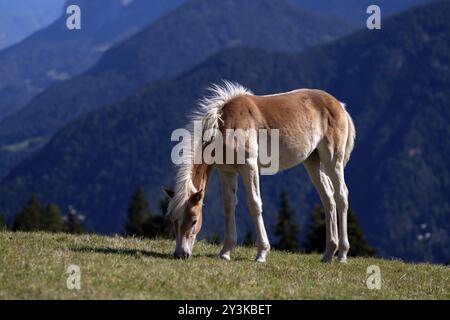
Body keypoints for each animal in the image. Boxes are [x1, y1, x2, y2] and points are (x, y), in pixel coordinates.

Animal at [163, 81, 356, 264]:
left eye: (194, 220)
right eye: (172, 220)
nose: (180, 254)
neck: (225, 125)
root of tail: (339, 105)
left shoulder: (249, 167)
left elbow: (254, 204)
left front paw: (261, 253)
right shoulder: (227, 171)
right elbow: (229, 205)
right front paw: (225, 252)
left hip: (333, 161)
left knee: (341, 196)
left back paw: (342, 254)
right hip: (313, 162)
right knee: (328, 198)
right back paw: (329, 253)